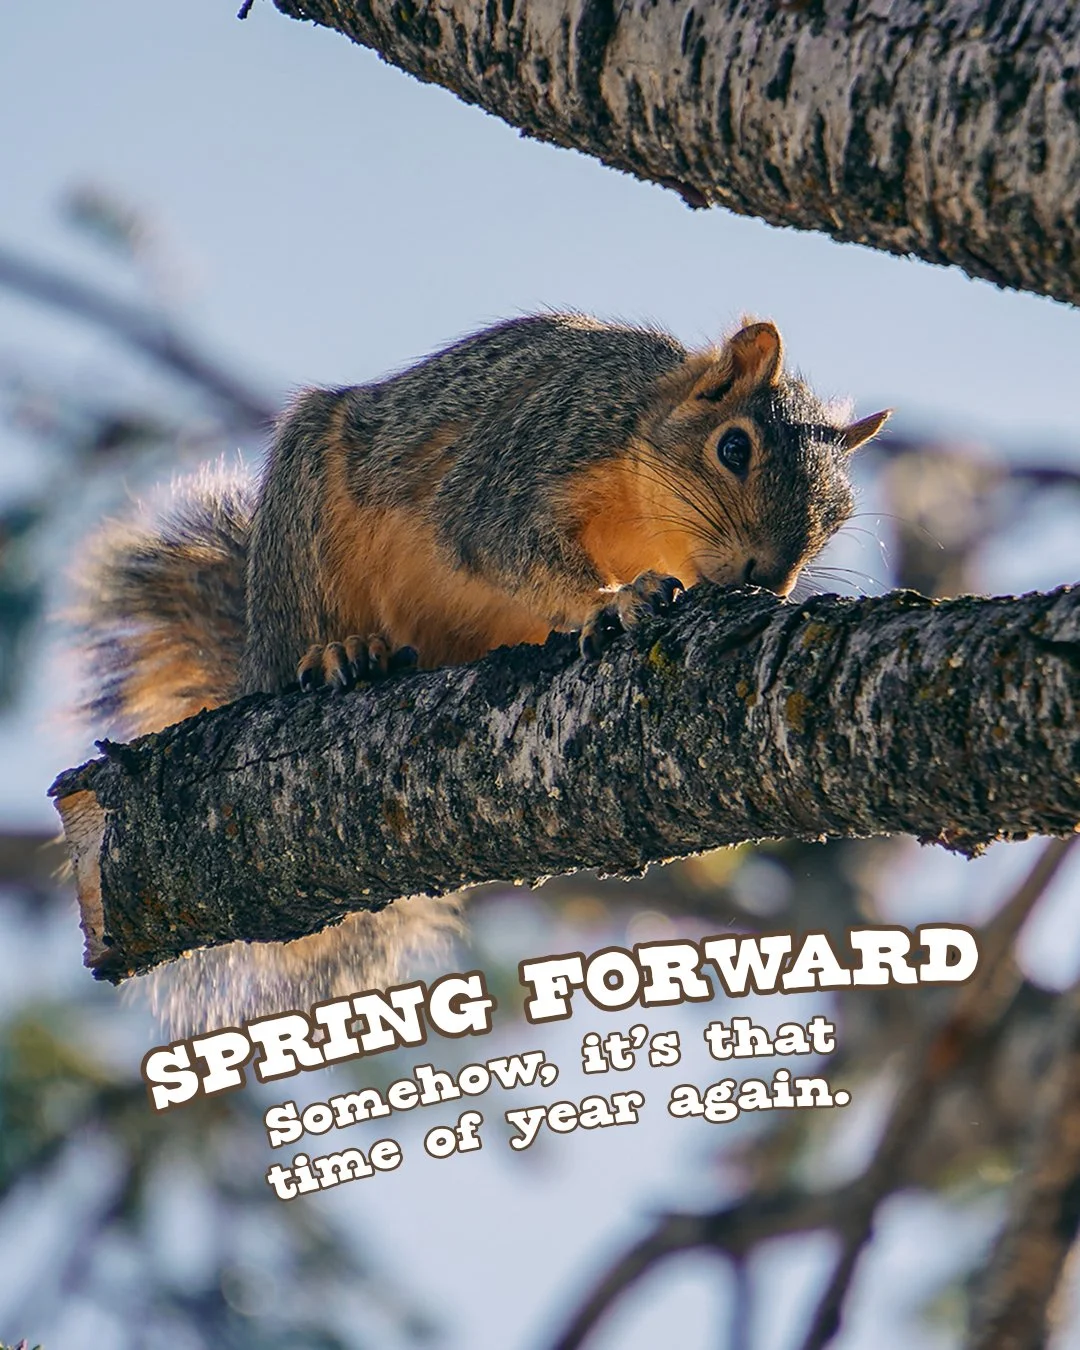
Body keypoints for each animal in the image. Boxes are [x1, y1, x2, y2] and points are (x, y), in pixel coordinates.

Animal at [76, 312, 889, 1033]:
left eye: (838, 516)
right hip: (304, 523)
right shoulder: (530, 458)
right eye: (733, 447)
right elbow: (502, 545)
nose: (771, 580)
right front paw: (617, 599)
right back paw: (339, 653)